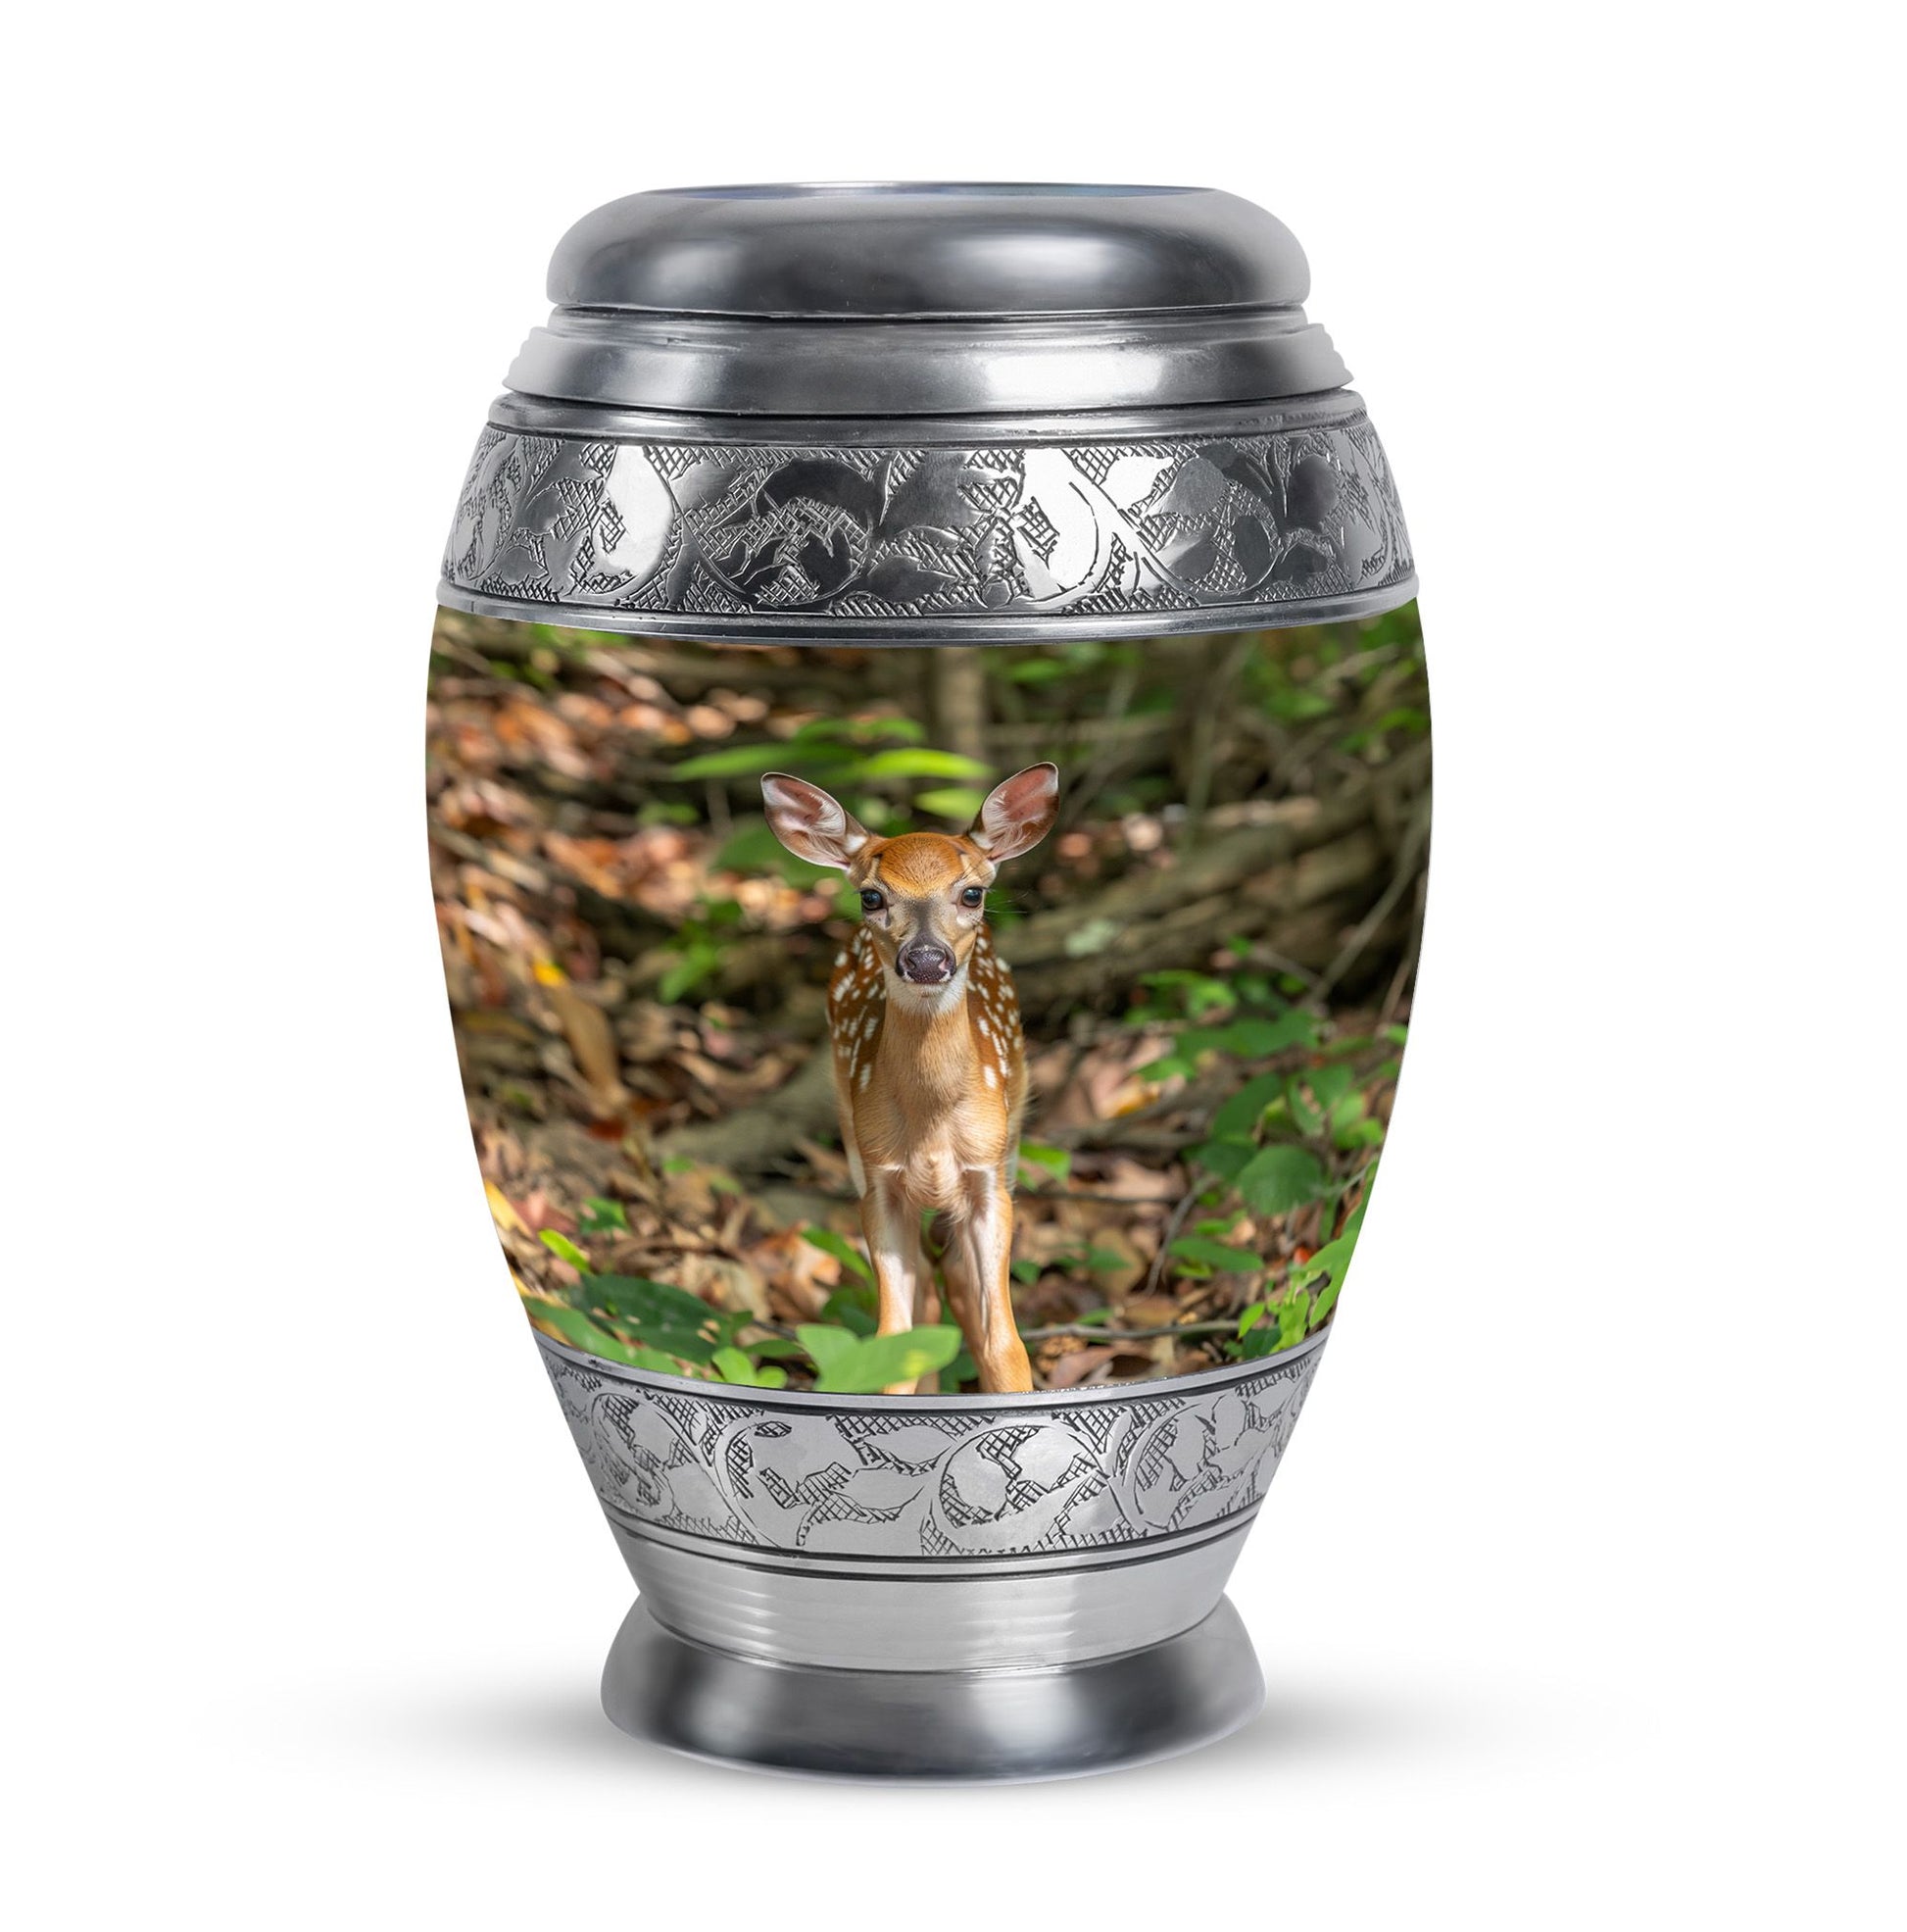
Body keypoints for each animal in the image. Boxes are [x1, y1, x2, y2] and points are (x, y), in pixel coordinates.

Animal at [762, 763, 1060, 1394]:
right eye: (872, 895)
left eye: (972, 893)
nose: (925, 959)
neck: (932, 1122)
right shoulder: (878, 1181)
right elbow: (893, 1345)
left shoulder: (988, 1177)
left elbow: (1006, 1345)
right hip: (850, 1133)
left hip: (1011, 1142)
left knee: (956, 1285)